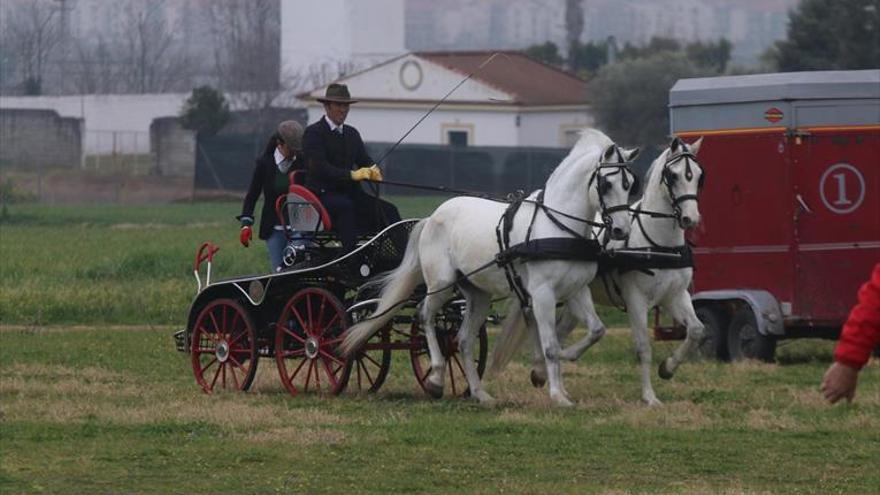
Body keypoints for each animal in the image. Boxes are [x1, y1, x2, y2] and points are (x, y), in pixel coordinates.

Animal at [340, 129, 636, 406]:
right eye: (606, 183)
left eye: (630, 184)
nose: (621, 230)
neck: (557, 227)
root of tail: (432, 216)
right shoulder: (542, 294)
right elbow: (550, 345)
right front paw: (557, 394)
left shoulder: (576, 291)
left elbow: (596, 330)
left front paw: (563, 365)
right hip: (441, 284)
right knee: (424, 316)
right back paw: (435, 378)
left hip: (477, 294)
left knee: (463, 340)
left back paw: (480, 393)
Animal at [492, 137, 704, 406]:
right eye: (673, 175)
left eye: (699, 176)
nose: (690, 218)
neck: (659, 243)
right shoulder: (636, 299)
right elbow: (643, 348)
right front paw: (649, 397)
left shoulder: (674, 296)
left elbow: (696, 330)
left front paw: (667, 367)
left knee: (560, 332)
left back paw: (549, 373)